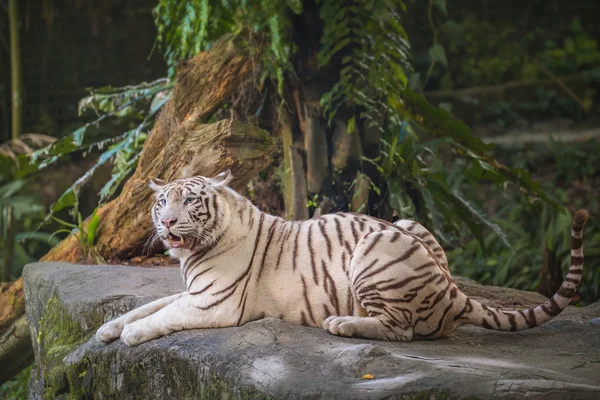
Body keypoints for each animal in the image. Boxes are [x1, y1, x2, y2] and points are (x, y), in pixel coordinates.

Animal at [96, 170, 588, 346]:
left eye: (190, 202)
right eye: (162, 202)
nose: (167, 224)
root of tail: (452, 290)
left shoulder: (213, 301)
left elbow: (162, 315)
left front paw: (131, 335)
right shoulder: (192, 292)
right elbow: (150, 305)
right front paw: (107, 329)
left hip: (374, 249)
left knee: (402, 330)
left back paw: (342, 324)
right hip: (405, 222)